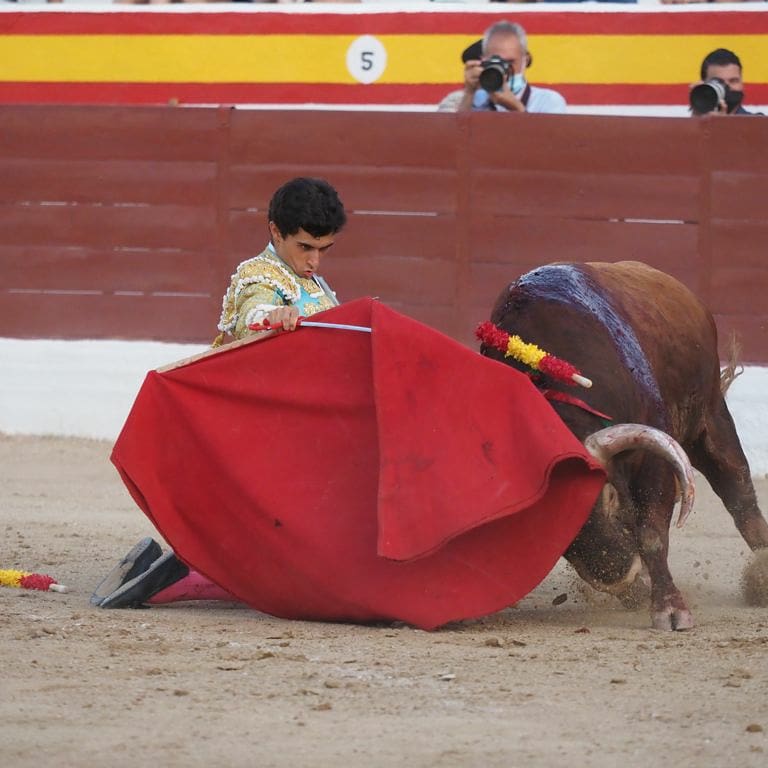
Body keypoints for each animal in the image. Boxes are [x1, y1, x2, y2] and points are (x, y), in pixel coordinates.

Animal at [480, 260, 768, 630]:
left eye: (609, 496)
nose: (619, 575)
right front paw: (638, 592)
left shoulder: (655, 460)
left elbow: (652, 534)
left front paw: (670, 609)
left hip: (711, 418)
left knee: (739, 492)